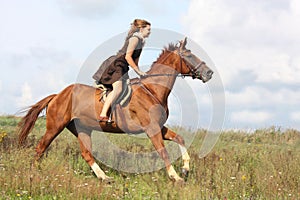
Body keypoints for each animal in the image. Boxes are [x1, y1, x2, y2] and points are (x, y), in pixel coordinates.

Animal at [18, 37, 213, 183]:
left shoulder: (158, 127)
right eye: (189, 55)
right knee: (40, 148)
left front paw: (185, 168)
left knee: (86, 153)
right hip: (55, 126)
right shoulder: (151, 129)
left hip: (82, 128)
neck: (152, 90)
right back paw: (33, 174)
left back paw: (104, 177)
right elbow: (163, 151)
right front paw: (176, 176)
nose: (209, 73)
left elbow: (179, 138)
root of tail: (57, 95)